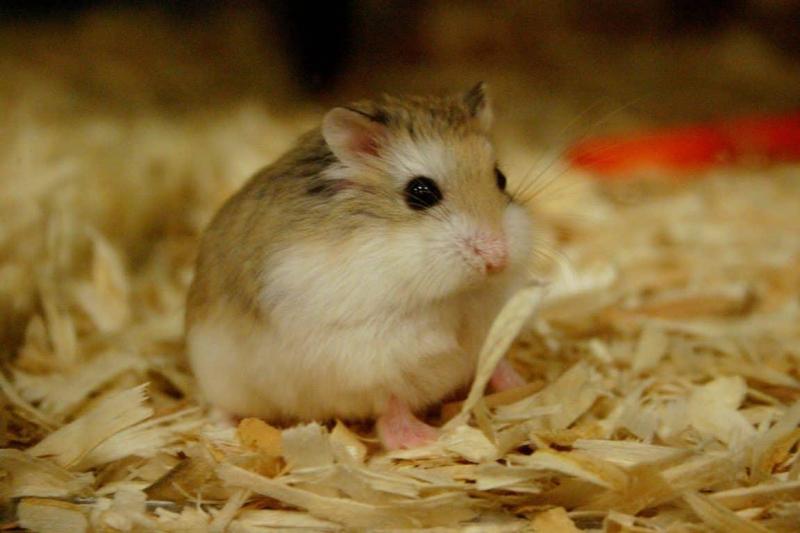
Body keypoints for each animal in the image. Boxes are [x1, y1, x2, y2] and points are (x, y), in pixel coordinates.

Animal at [185, 83, 534, 449]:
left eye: (500, 177)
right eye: (421, 192)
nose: (497, 258)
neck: (456, 293)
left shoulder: (489, 321)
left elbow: (492, 357)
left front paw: (523, 384)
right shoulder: (368, 355)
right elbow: (391, 398)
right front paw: (425, 439)